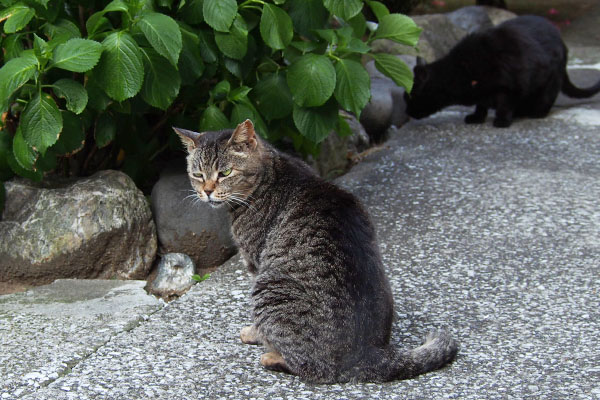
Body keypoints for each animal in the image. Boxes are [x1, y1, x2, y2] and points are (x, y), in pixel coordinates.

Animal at [176, 120, 458, 382]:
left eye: (225, 172)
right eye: (198, 174)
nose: (207, 191)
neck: (270, 173)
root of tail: (371, 353)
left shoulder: (255, 262)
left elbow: (260, 326)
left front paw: (254, 334)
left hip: (268, 287)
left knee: (312, 368)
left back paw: (272, 356)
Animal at [404, 14, 600, 127]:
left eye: (411, 96)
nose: (407, 112)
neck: (461, 71)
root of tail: (562, 40)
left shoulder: (508, 86)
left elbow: (504, 104)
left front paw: (502, 120)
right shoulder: (482, 92)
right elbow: (481, 104)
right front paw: (477, 117)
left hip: (549, 82)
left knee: (544, 101)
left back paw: (532, 112)